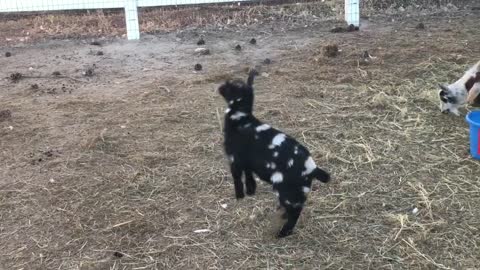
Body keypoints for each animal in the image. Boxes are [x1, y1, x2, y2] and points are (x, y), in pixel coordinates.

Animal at [219, 68, 332, 237]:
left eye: (230, 86)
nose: (219, 87)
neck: (242, 120)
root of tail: (312, 169)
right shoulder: (247, 162)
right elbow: (249, 175)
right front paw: (251, 191)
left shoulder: (234, 159)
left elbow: (237, 178)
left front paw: (239, 197)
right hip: (297, 191)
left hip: (287, 190)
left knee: (295, 212)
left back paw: (283, 232)